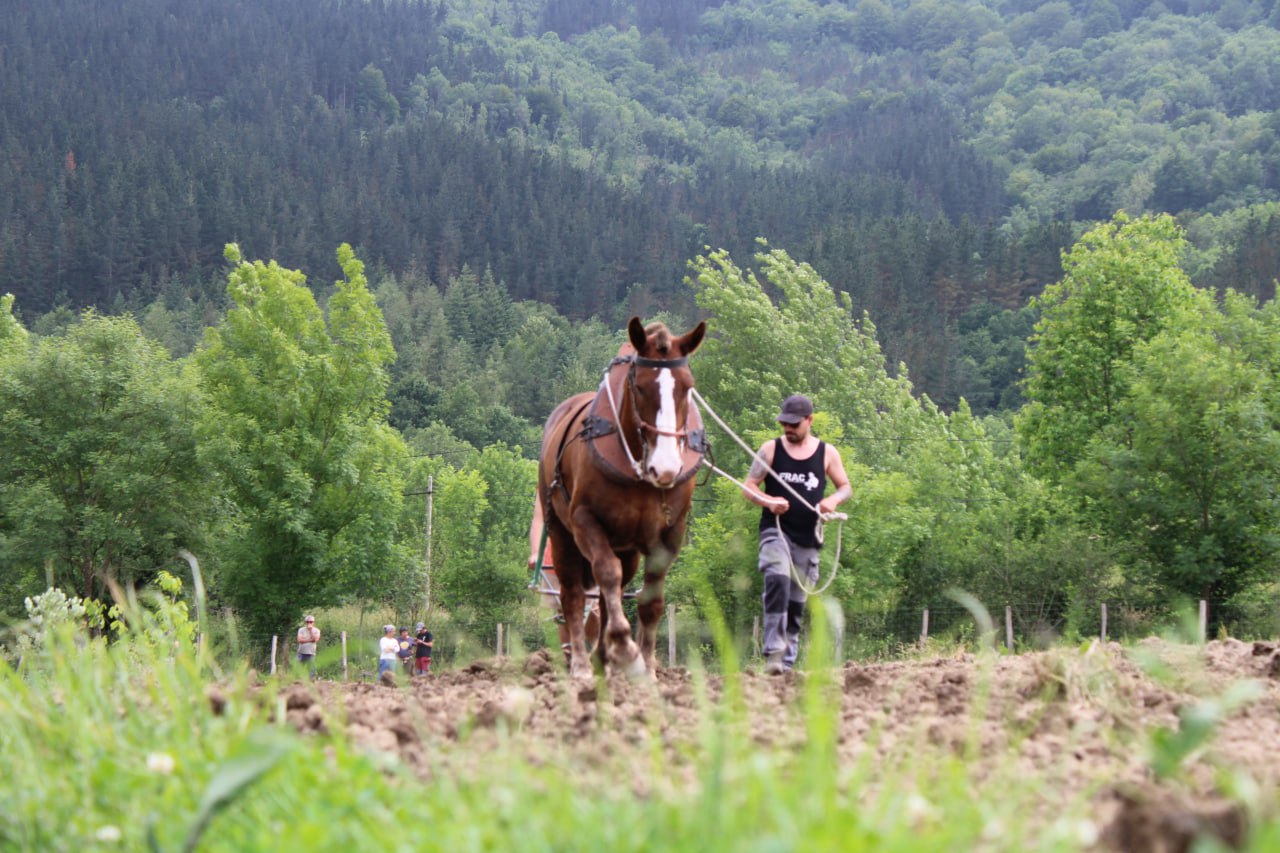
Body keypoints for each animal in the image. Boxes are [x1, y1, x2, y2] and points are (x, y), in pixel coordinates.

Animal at [539, 317, 707, 680]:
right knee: (574, 593)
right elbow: (606, 574)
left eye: (687, 387)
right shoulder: (585, 521)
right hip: (561, 533)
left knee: (607, 594)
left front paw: (645, 665)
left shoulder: (670, 534)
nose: (666, 468)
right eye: (640, 387)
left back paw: (605, 659)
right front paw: (625, 647)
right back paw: (583, 663)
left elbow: (650, 599)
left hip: (626, 547)